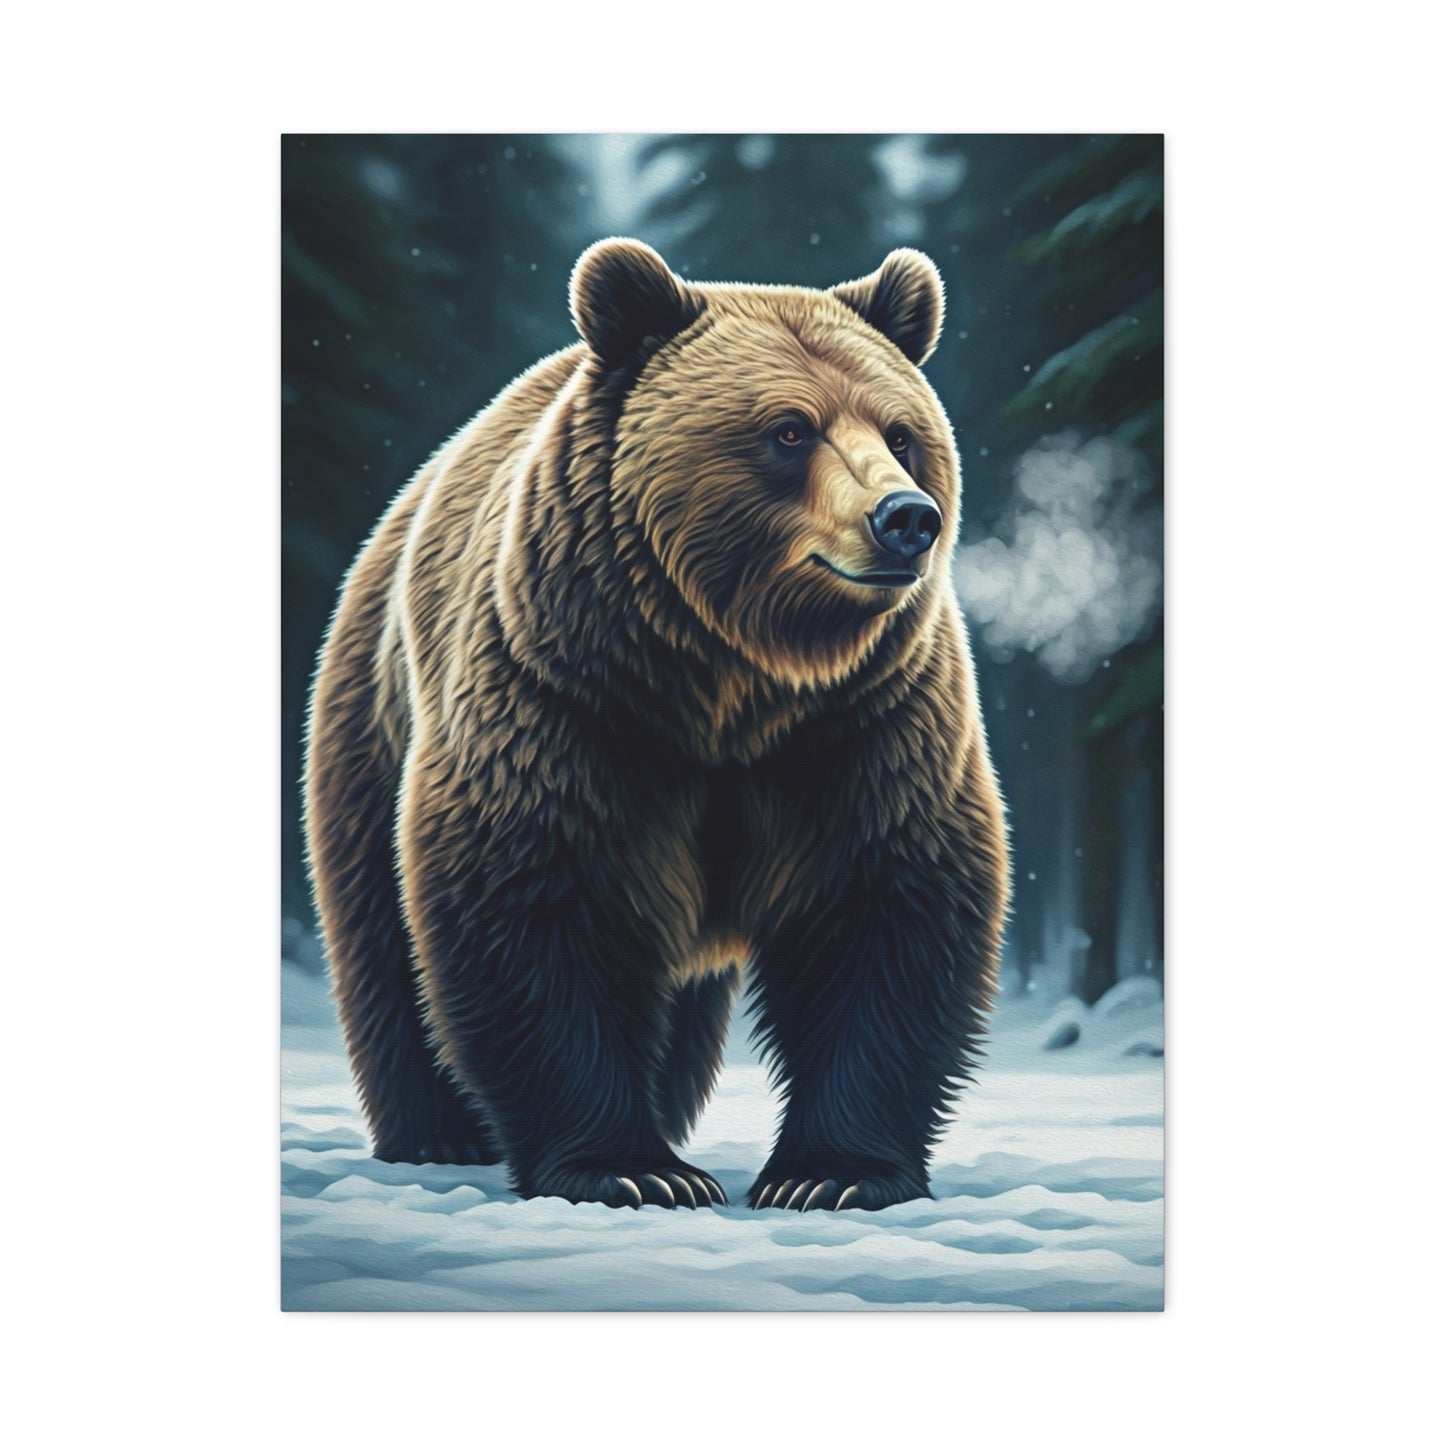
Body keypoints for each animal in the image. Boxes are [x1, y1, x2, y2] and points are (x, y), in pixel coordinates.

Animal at [304, 238, 1010, 1211]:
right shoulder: (565, 703)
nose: (906, 517)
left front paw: (831, 1173)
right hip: (375, 713)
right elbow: (535, 900)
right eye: (789, 430)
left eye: (900, 431)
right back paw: (437, 1135)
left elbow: (884, 908)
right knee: (382, 935)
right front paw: (631, 1167)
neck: (727, 681)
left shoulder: (865, 723)